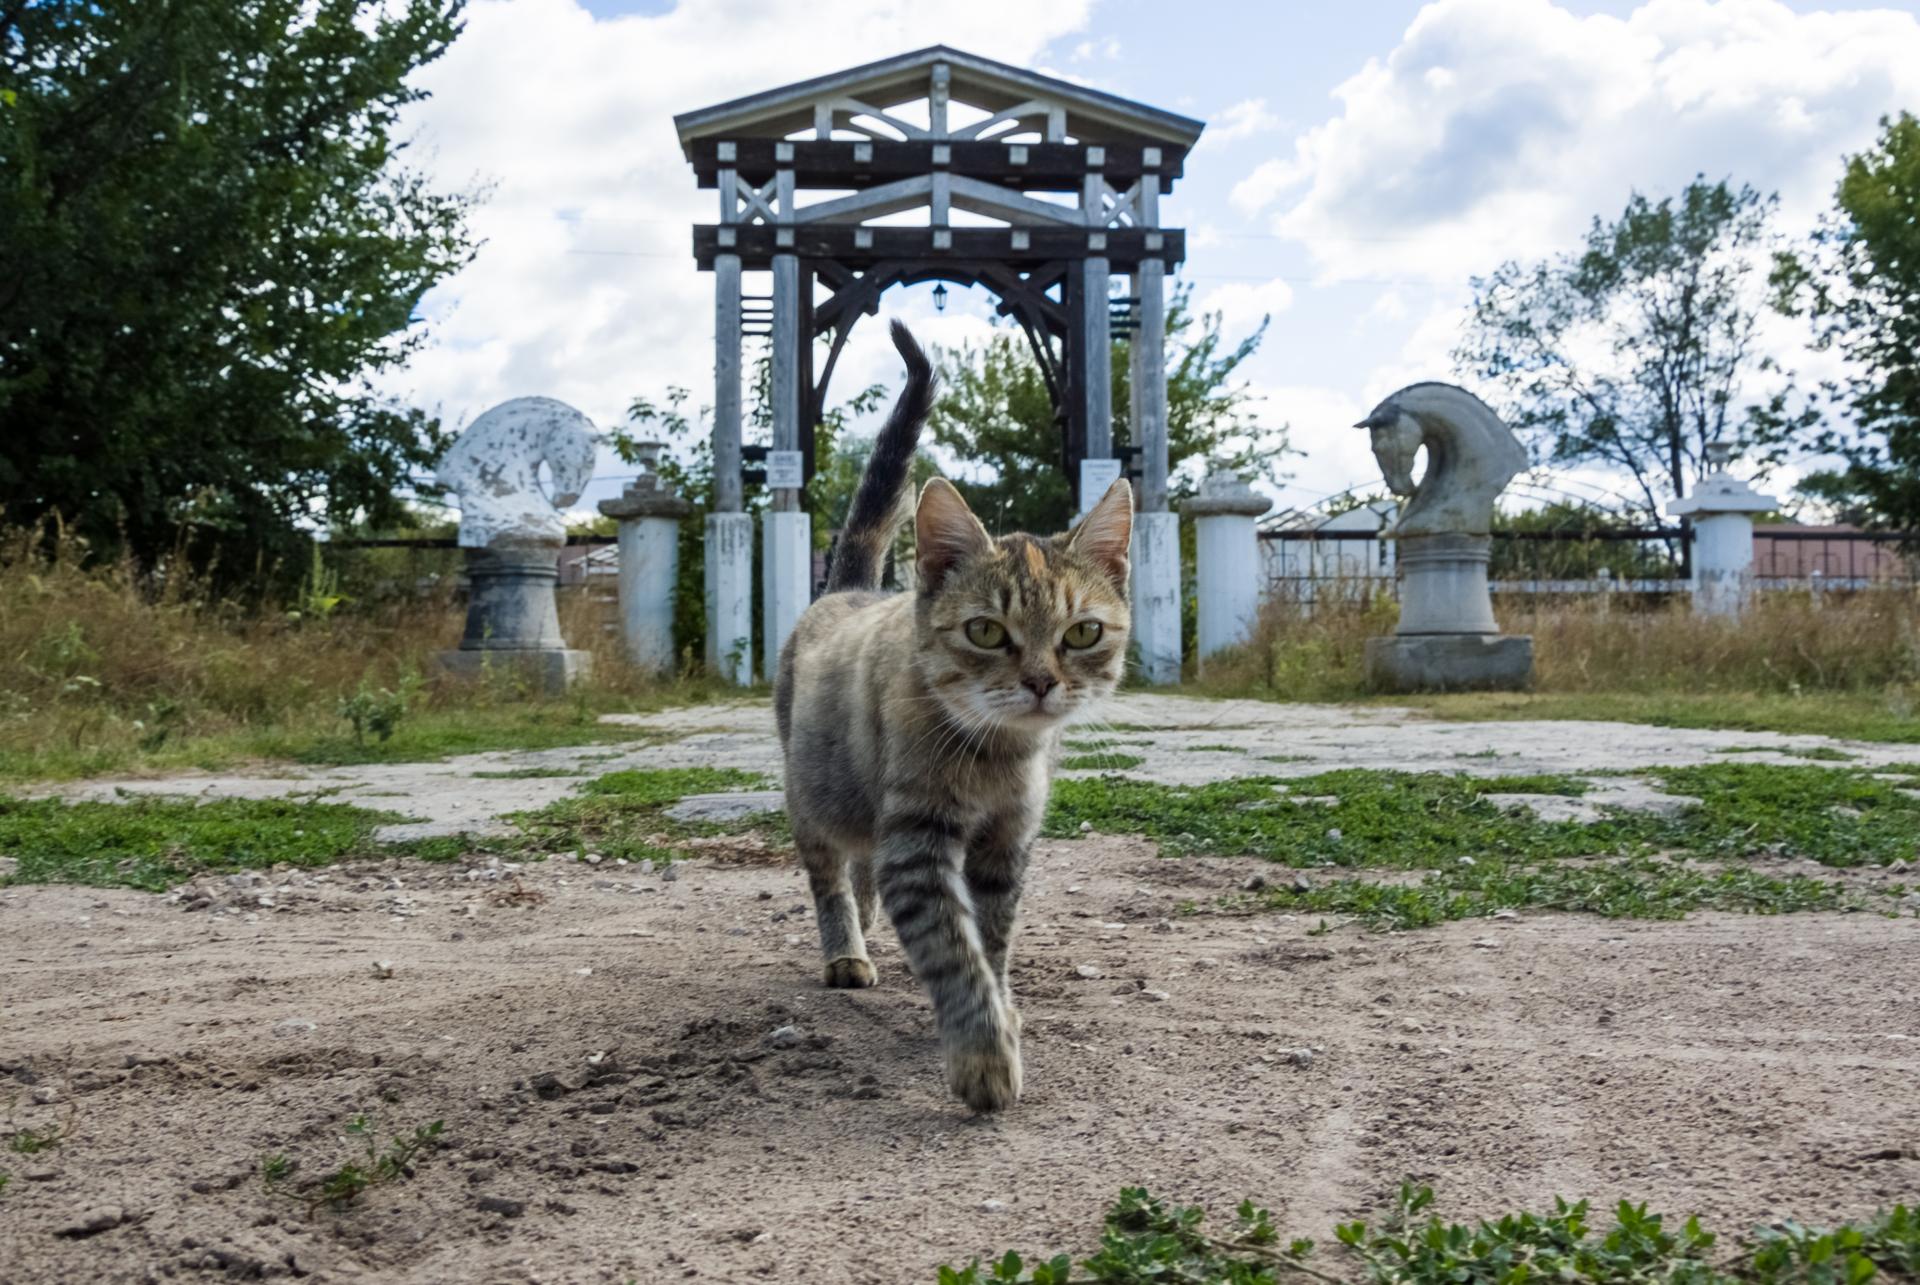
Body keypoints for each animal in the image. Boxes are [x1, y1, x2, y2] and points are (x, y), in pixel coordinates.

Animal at [775, 319, 1134, 1112]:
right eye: (987, 632)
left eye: (1082, 634)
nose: (1041, 682)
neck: (998, 756)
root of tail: (844, 589)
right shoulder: (918, 841)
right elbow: (952, 948)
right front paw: (983, 1055)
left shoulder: (1006, 844)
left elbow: (991, 940)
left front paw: (1002, 1007)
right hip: (810, 794)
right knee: (829, 873)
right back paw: (845, 949)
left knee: (863, 860)